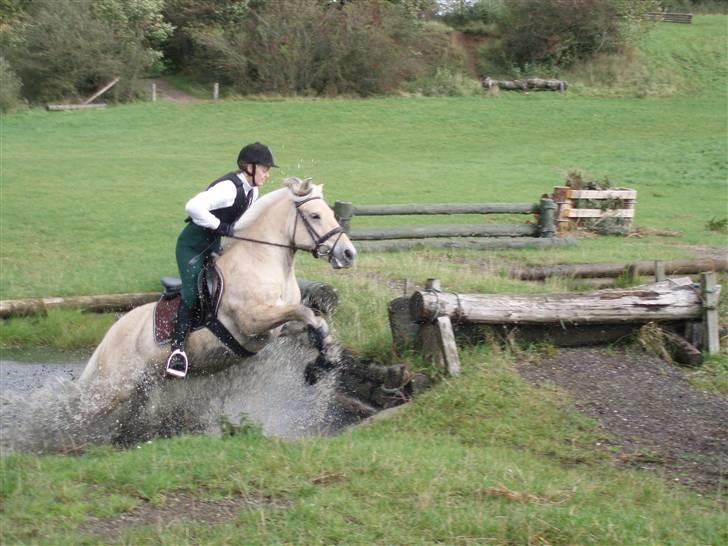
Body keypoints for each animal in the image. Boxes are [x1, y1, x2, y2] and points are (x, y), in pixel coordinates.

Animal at [79, 176, 358, 410]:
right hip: (113, 388)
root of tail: (109, 336)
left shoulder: (279, 326)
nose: (348, 254)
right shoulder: (252, 321)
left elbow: (314, 320)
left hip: (142, 386)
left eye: (330, 213)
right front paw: (320, 363)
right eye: (315, 215)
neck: (261, 258)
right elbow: (305, 312)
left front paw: (323, 360)